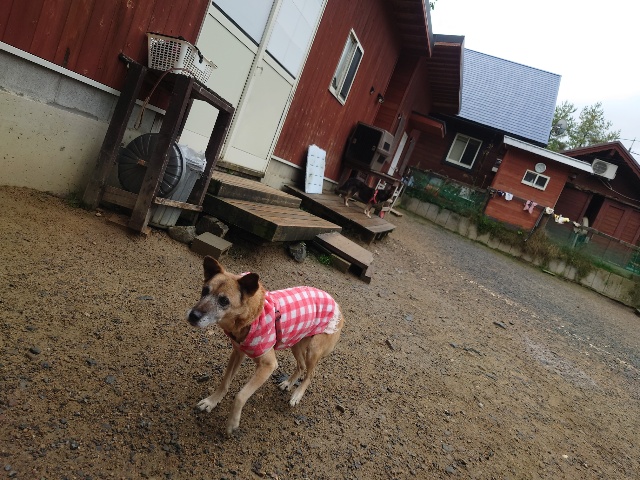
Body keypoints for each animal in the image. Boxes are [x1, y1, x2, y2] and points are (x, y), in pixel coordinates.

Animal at [187, 256, 345, 435]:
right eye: (204, 291)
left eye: (224, 301)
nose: (193, 315)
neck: (251, 318)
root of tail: (337, 305)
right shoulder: (237, 353)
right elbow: (225, 381)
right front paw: (211, 401)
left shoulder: (267, 366)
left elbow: (240, 396)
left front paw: (232, 423)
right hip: (295, 342)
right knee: (301, 366)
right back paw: (288, 383)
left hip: (313, 350)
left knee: (310, 374)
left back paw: (297, 395)